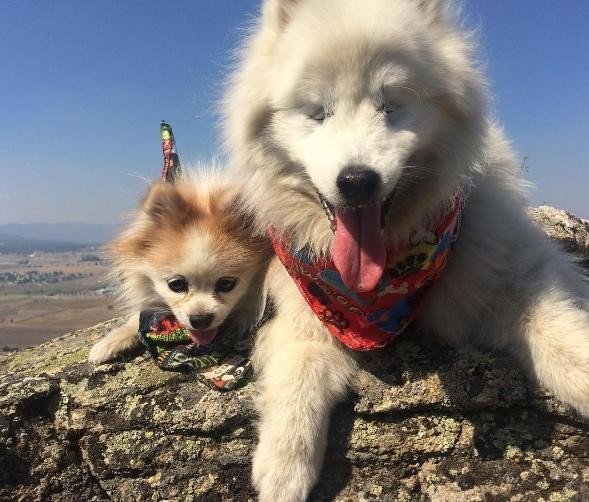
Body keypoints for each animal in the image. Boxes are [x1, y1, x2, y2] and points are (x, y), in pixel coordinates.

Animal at [222, 1, 588, 500]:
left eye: (391, 106)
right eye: (317, 112)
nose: (357, 181)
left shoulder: (510, 269)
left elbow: (561, 333)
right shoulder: (307, 307)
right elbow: (300, 372)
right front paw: (284, 467)